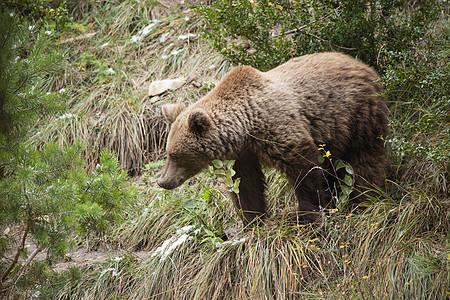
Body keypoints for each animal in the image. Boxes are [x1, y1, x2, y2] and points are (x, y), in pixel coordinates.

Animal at [156, 52, 388, 225]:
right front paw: (252, 221)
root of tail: (363, 64)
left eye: (174, 155)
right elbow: (245, 185)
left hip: (358, 113)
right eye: (167, 153)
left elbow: (303, 169)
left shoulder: (276, 129)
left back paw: (363, 199)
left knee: (365, 158)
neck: (244, 129)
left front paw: (306, 213)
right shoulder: (242, 155)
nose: (162, 181)